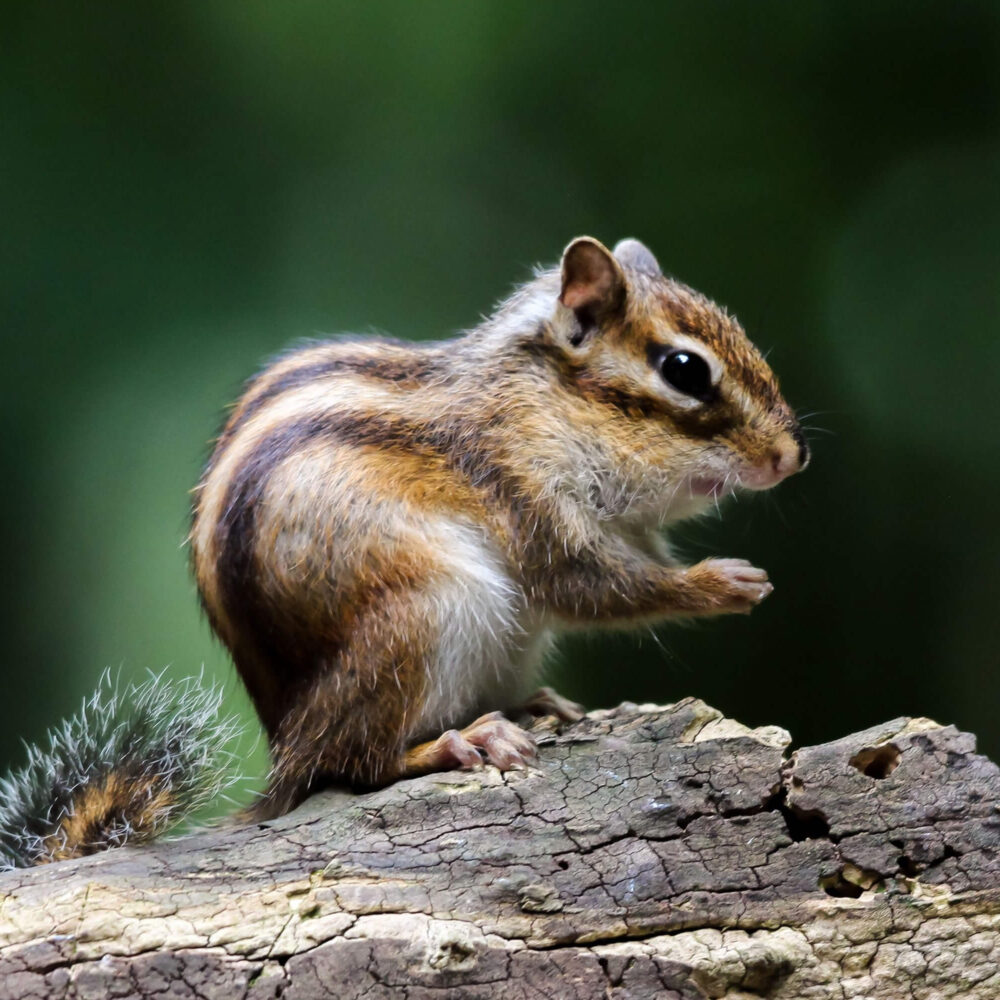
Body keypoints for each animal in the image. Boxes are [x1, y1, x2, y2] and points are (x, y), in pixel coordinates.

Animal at [0, 236, 806, 867]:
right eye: (684, 369)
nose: (792, 459)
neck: (545, 400)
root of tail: (283, 751)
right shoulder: (520, 486)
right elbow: (586, 585)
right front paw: (724, 583)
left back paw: (529, 704)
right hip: (425, 613)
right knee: (351, 765)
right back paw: (459, 742)